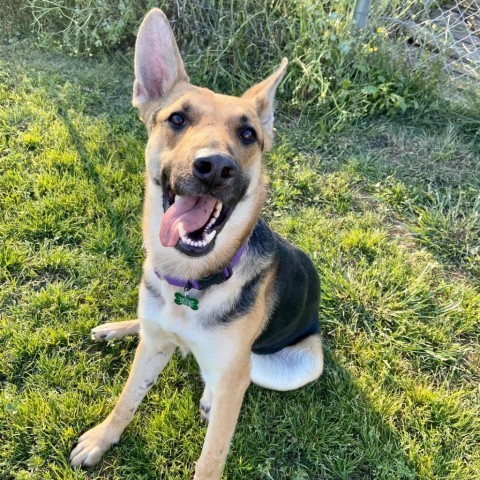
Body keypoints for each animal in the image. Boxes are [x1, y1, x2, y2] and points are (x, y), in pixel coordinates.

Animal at [69, 8, 324, 480]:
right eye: (177, 119)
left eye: (248, 135)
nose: (215, 167)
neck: (190, 282)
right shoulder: (153, 347)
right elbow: (127, 399)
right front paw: (101, 439)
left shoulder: (231, 380)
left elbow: (212, 456)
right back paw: (120, 328)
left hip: (300, 365)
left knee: (238, 374)